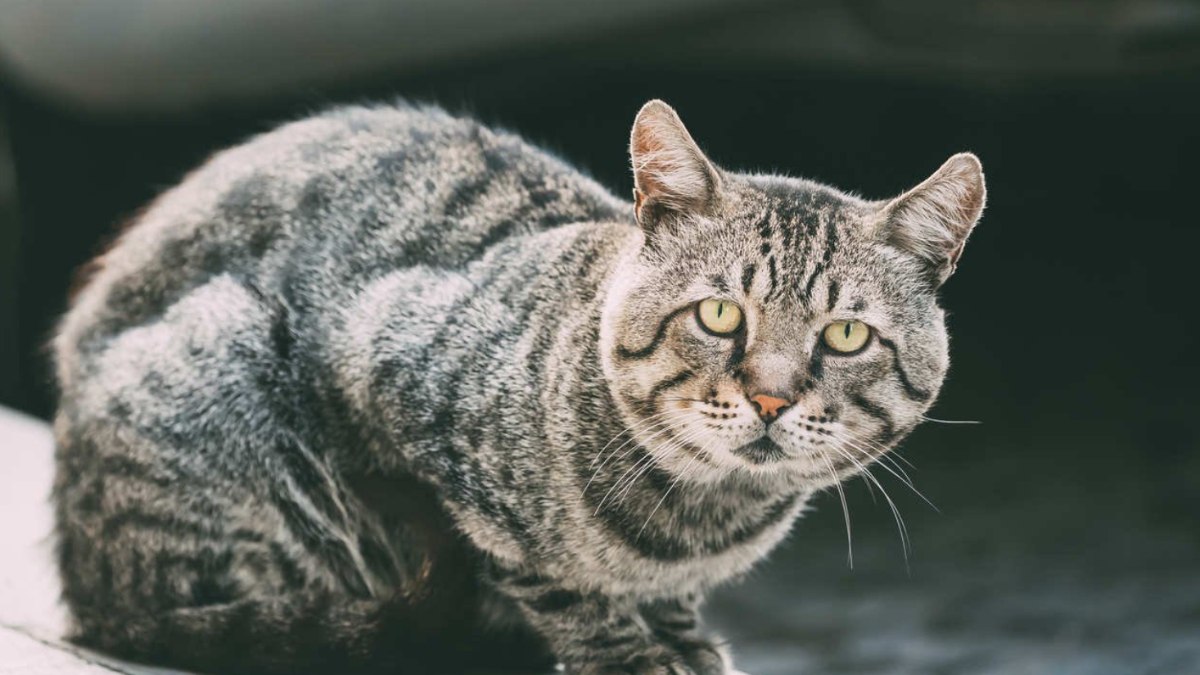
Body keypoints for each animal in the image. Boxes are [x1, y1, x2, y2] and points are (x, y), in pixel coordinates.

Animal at [51, 99, 984, 672]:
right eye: (720, 315)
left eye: (845, 335)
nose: (771, 397)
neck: (701, 514)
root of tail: (80, 572)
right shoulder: (389, 364)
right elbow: (542, 574)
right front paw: (627, 651)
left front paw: (681, 636)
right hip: (221, 367)